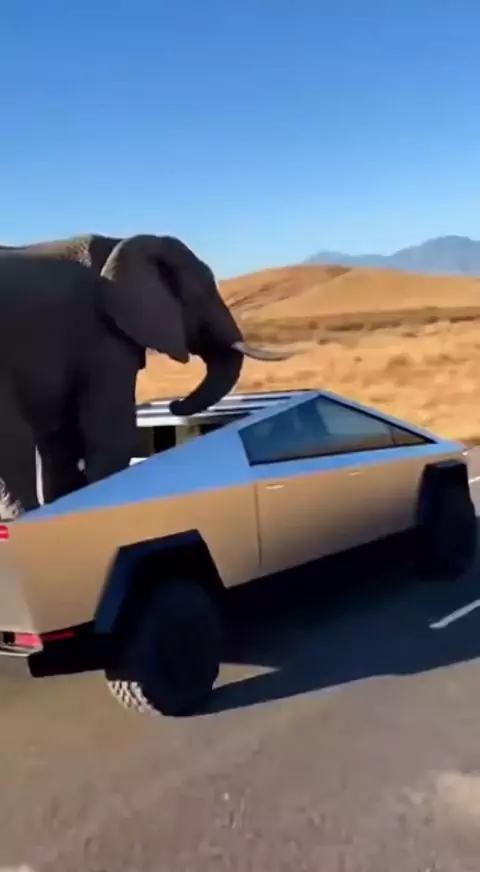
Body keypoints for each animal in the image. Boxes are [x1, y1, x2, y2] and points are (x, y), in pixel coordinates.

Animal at [0, 233, 291, 515]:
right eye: (200, 295)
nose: (174, 404)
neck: (121, 242)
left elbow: (63, 444)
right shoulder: (103, 336)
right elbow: (110, 434)